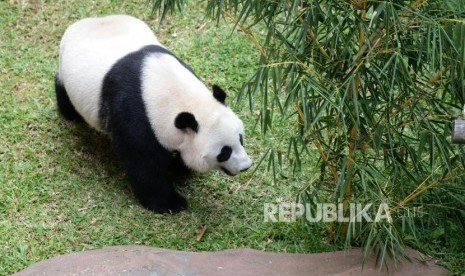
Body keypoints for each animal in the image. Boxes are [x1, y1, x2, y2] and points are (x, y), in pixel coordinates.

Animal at [55, 14, 252, 213]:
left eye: (240, 138)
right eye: (224, 152)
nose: (245, 166)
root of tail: (91, 20)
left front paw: (176, 167)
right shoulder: (135, 115)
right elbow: (143, 163)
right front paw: (171, 202)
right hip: (65, 69)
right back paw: (71, 115)